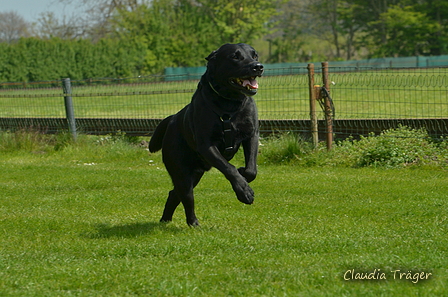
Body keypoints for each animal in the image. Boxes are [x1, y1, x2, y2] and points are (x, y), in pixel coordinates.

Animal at [149, 43, 264, 224]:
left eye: (255, 55)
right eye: (235, 56)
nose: (257, 66)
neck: (229, 105)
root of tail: (173, 118)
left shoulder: (252, 135)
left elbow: (252, 169)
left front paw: (244, 173)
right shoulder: (207, 146)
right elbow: (229, 168)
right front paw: (244, 192)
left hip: (195, 174)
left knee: (174, 194)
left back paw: (165, 220)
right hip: (181, 173)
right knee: (186, 197)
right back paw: (193, 222)